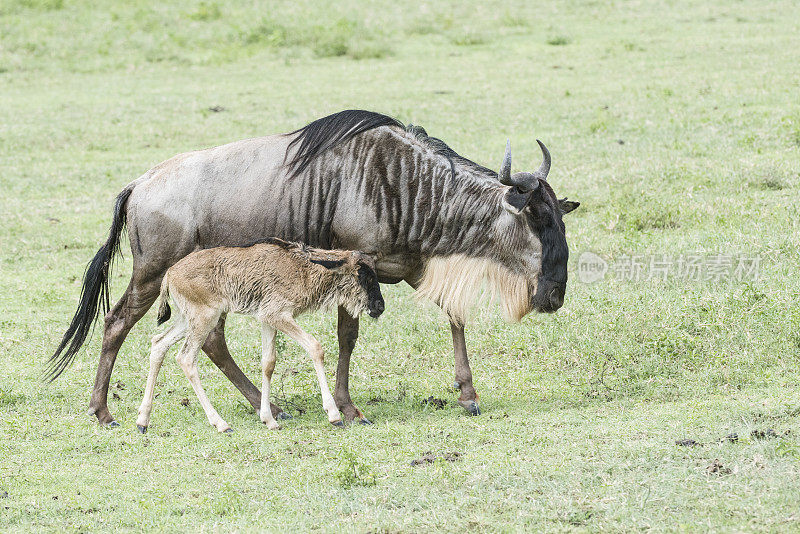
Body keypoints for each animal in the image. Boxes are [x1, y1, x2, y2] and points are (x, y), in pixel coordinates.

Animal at [134, 240, 384, 436]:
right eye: (363, 275)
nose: (379, 307)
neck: (302, 269)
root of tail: (169, 274)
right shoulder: (278, 315)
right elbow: (315, 347)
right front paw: (333, 414)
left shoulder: (267, 319)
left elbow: (268, 363)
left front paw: (269, 419)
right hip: (205, 318)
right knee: (186, 358)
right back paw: (220, 424)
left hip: (187, 320)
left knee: (158, 343)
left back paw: (143, 420)